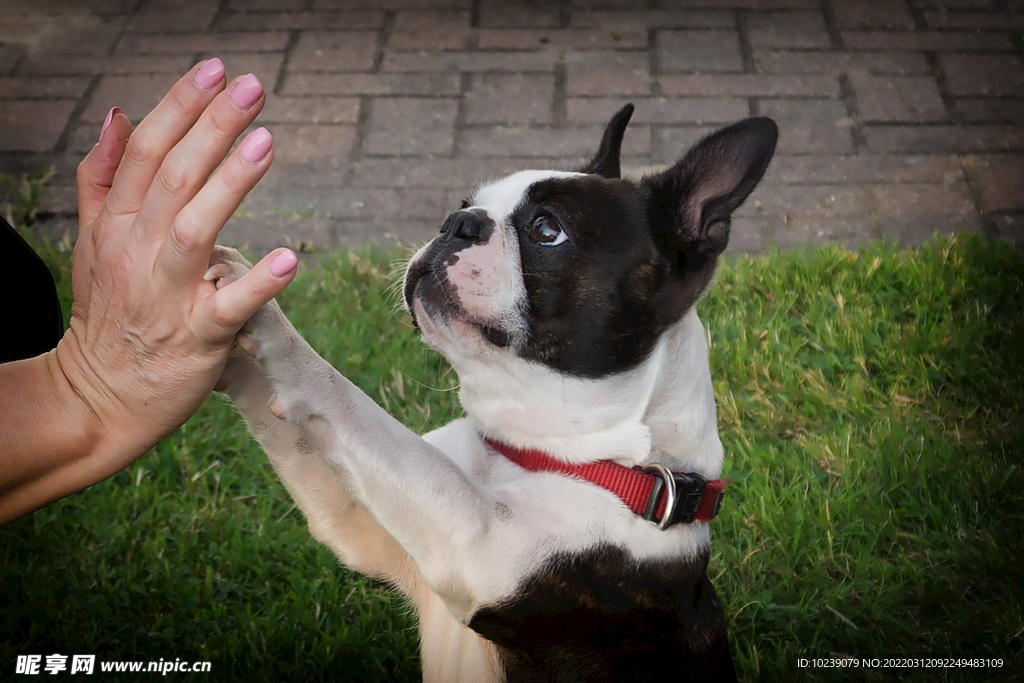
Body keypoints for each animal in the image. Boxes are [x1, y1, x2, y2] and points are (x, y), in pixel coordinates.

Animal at [211, 102, 778, 683]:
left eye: (547, 229)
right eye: (465, 205)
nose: (457, 223)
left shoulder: (477, 542)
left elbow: (351, 404)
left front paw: (272, 329)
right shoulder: (360, 524)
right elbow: (296, 430)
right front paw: (225, 312)